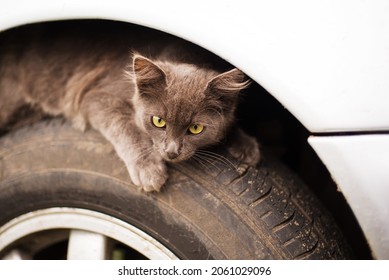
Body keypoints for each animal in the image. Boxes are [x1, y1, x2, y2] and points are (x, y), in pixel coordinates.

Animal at [1, 25, 260, 192]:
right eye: (158, 121)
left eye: (196, 128)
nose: (172, 152)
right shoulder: (96, 96)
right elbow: (126, 127)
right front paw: (149, 170)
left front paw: (246, 147)